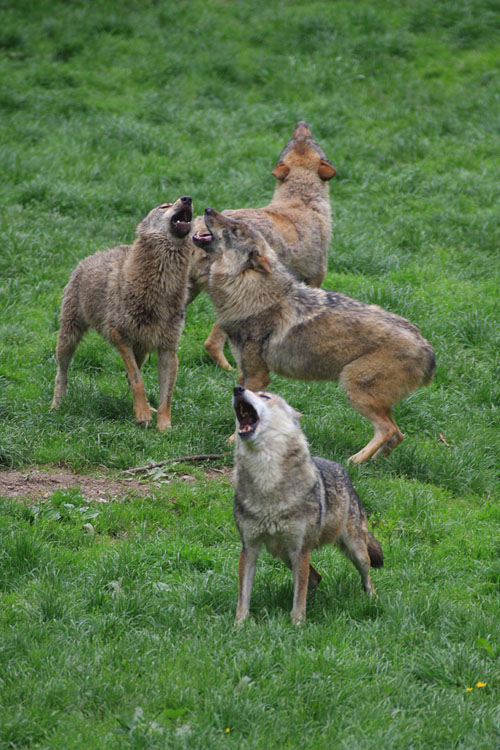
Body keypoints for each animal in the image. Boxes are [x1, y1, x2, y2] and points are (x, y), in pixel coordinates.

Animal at [52, 195, 193, 428]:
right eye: (164, 206)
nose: (187, 198)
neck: (161, 288)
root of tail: (92, 256)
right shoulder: (119, 335)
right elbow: (138, 380)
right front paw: (142, 416)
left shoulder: (168, 349)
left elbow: (166, 395)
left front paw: (164, 427)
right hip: (69, 337)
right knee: (61, 372)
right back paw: (56, 405)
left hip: (143, 348)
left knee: (128, 376)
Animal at [193, 207, 436, 464]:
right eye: (233, 222)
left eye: (234, 229)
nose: (208, 209)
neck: (250, 293)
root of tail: (428, 350)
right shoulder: (244, 371)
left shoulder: (258, 375)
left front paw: (233, 441)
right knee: (398, 434)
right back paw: (373, 461)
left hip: (353, 388)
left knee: (388, 429)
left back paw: (355, 461)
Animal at [231, 384, 382, 624]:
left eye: (265, 396)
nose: (237, 389)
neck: (267, 479)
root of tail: (343, 470)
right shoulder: (249, 548)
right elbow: (243, 597)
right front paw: (239, 626)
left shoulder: (300, 549)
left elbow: (298, 596)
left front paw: (297, 625)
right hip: (285, 554)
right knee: (314, 578)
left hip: (354, 551)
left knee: (366, 579)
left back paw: (373, 601)